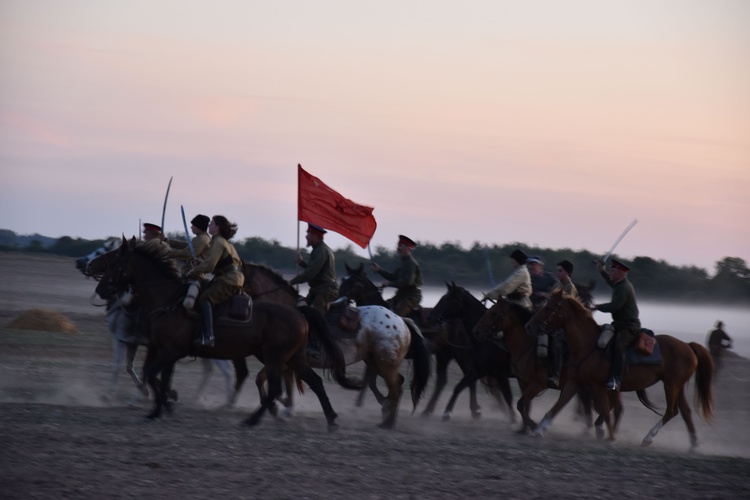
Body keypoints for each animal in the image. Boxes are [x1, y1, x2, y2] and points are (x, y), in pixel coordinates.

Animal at [96, 238, 362, 430]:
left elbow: (152, 374)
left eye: (116, 264)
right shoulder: (161, 349)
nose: (100, 289)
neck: (170, 300)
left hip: (275, 357)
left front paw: (163, 405)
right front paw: (158, 409)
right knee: (313, 382)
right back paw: (330, 419)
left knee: (276, 388)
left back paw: (253, 420)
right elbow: (154, 375)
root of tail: (299, 311)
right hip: (291, 358)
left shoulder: (171, 350)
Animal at [242, 262, 428, 430]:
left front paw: (281, 408)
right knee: (394, 383)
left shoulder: (283, 360)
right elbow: (271, 382)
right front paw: (283, 408)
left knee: (395, 386)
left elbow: (276, 383)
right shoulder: (286, 362)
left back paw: (387, 421)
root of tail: (401, 320)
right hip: (375, 361)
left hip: (385, 363)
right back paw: (386, 415)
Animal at [524, 288, 712, 448]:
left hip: (671, 385)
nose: (529, 326)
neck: (589, 344)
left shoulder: (597, 386)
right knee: (685, 412)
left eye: (548, 308)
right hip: (677, 386)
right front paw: (539, 429)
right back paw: (693, 443)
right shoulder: (574, 382)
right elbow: (557, 406)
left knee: (671, 411)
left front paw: (612, 437)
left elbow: (606, 411)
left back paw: (649, 437)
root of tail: (688, 345)